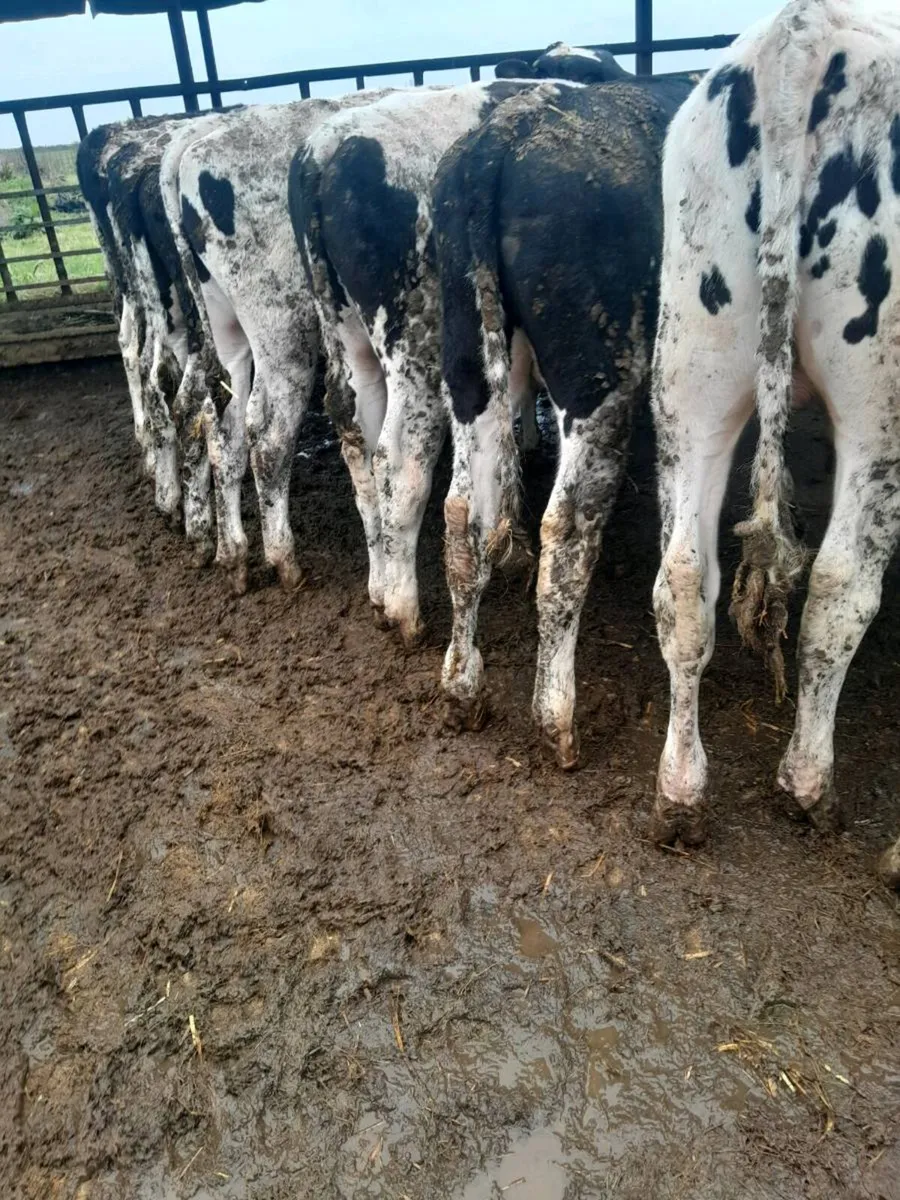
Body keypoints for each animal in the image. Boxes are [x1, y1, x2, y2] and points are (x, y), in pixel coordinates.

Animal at [433, 70, 697, 767]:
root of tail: (499, 139)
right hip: (600, 381)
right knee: (567, 531)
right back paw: (555, 716)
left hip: (468, 361)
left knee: (462, 517)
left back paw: (463, 684)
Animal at [649, 0, 900, 886]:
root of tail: (804, 32)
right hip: (879, 391)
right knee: (840, 586)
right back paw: (807, 785)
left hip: (691, 366)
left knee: (684, 579)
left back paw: (681, 795)